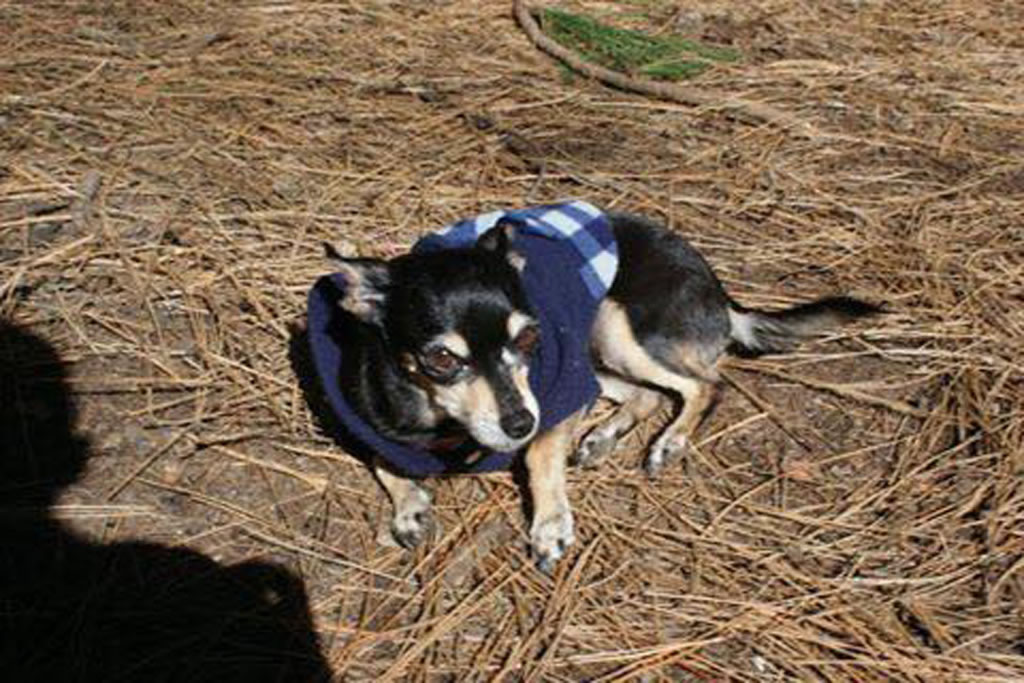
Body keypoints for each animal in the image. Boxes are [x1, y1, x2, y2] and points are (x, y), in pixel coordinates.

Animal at [308, 202, 879, 572]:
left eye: (530, 336)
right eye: (441, 359)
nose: (520, 421)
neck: (440, 425)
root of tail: (719, 292)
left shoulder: (555, 402)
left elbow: (540, 457)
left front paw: (550, 526)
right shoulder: (363, 420)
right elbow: (383, 459)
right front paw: (408, 506)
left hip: (616, 326)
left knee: (704, 386)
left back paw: (669, 441)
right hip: (598, 352)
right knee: (647, 395)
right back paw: (604, 437)